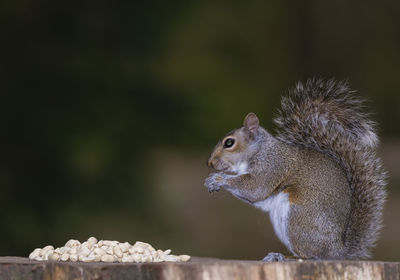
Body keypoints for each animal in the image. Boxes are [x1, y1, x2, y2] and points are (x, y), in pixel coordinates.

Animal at [205, 78, 386, 260]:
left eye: (229, 143)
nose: (210, 163)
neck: (259, 150)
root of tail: (337, 251)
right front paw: (211, 180)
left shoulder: (272, 166)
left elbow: (256, 188)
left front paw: (219, 178)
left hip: (298, 218)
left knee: (309, 256)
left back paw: (282, 257)